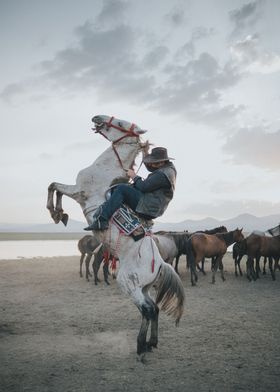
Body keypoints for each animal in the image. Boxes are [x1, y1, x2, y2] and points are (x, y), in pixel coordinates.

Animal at [47, 114, 185, 358]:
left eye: (121, 124)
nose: (97, 117)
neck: (104, 170)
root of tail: (159, 263)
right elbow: (54, 186)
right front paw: (60, 215)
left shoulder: (77, 191)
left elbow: (53, 185)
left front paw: (56, 213)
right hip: (144, 287)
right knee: (154, 308)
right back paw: (152, 343)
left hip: (129, 284)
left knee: (148, 310)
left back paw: (141, 346)